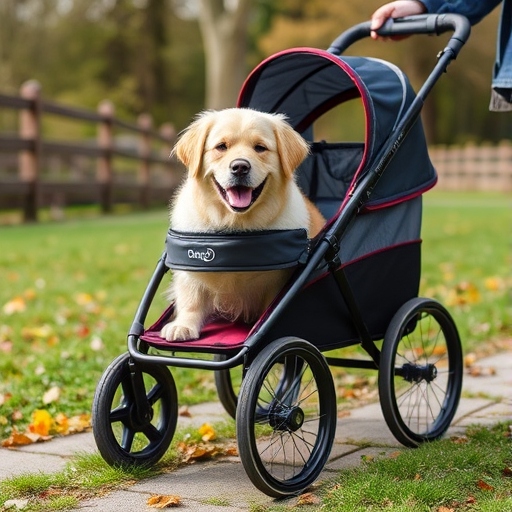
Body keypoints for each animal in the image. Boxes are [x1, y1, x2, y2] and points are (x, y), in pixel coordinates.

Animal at [160, 107, 324, 340]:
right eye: (221, 146)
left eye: (260, 148)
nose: (239, 167)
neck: (237, 227)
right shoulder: (189, 270)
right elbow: (191, 298)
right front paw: (183, 325)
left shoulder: (278, 281)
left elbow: (271, 307)